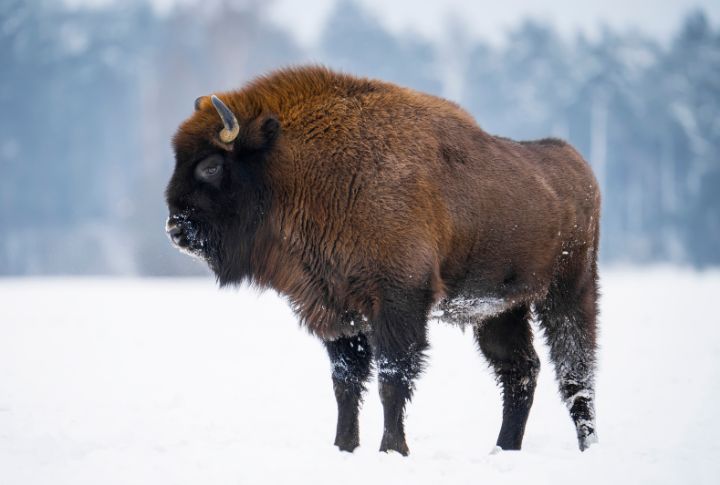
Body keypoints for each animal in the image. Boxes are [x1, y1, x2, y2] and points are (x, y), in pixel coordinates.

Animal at [165, 66, 600, 455]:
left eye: (211, 166)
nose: (174, 229)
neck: (300, 167)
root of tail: (579, 165)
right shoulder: (337, 310)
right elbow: (346, 382)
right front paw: (344, 447)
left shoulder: (398, 302)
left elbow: (392, 378)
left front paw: (392, 449)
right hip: (499, 309)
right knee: (520, 370)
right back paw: (504, 449)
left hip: (569, 292)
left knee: (575, 372)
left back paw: (587, 447)